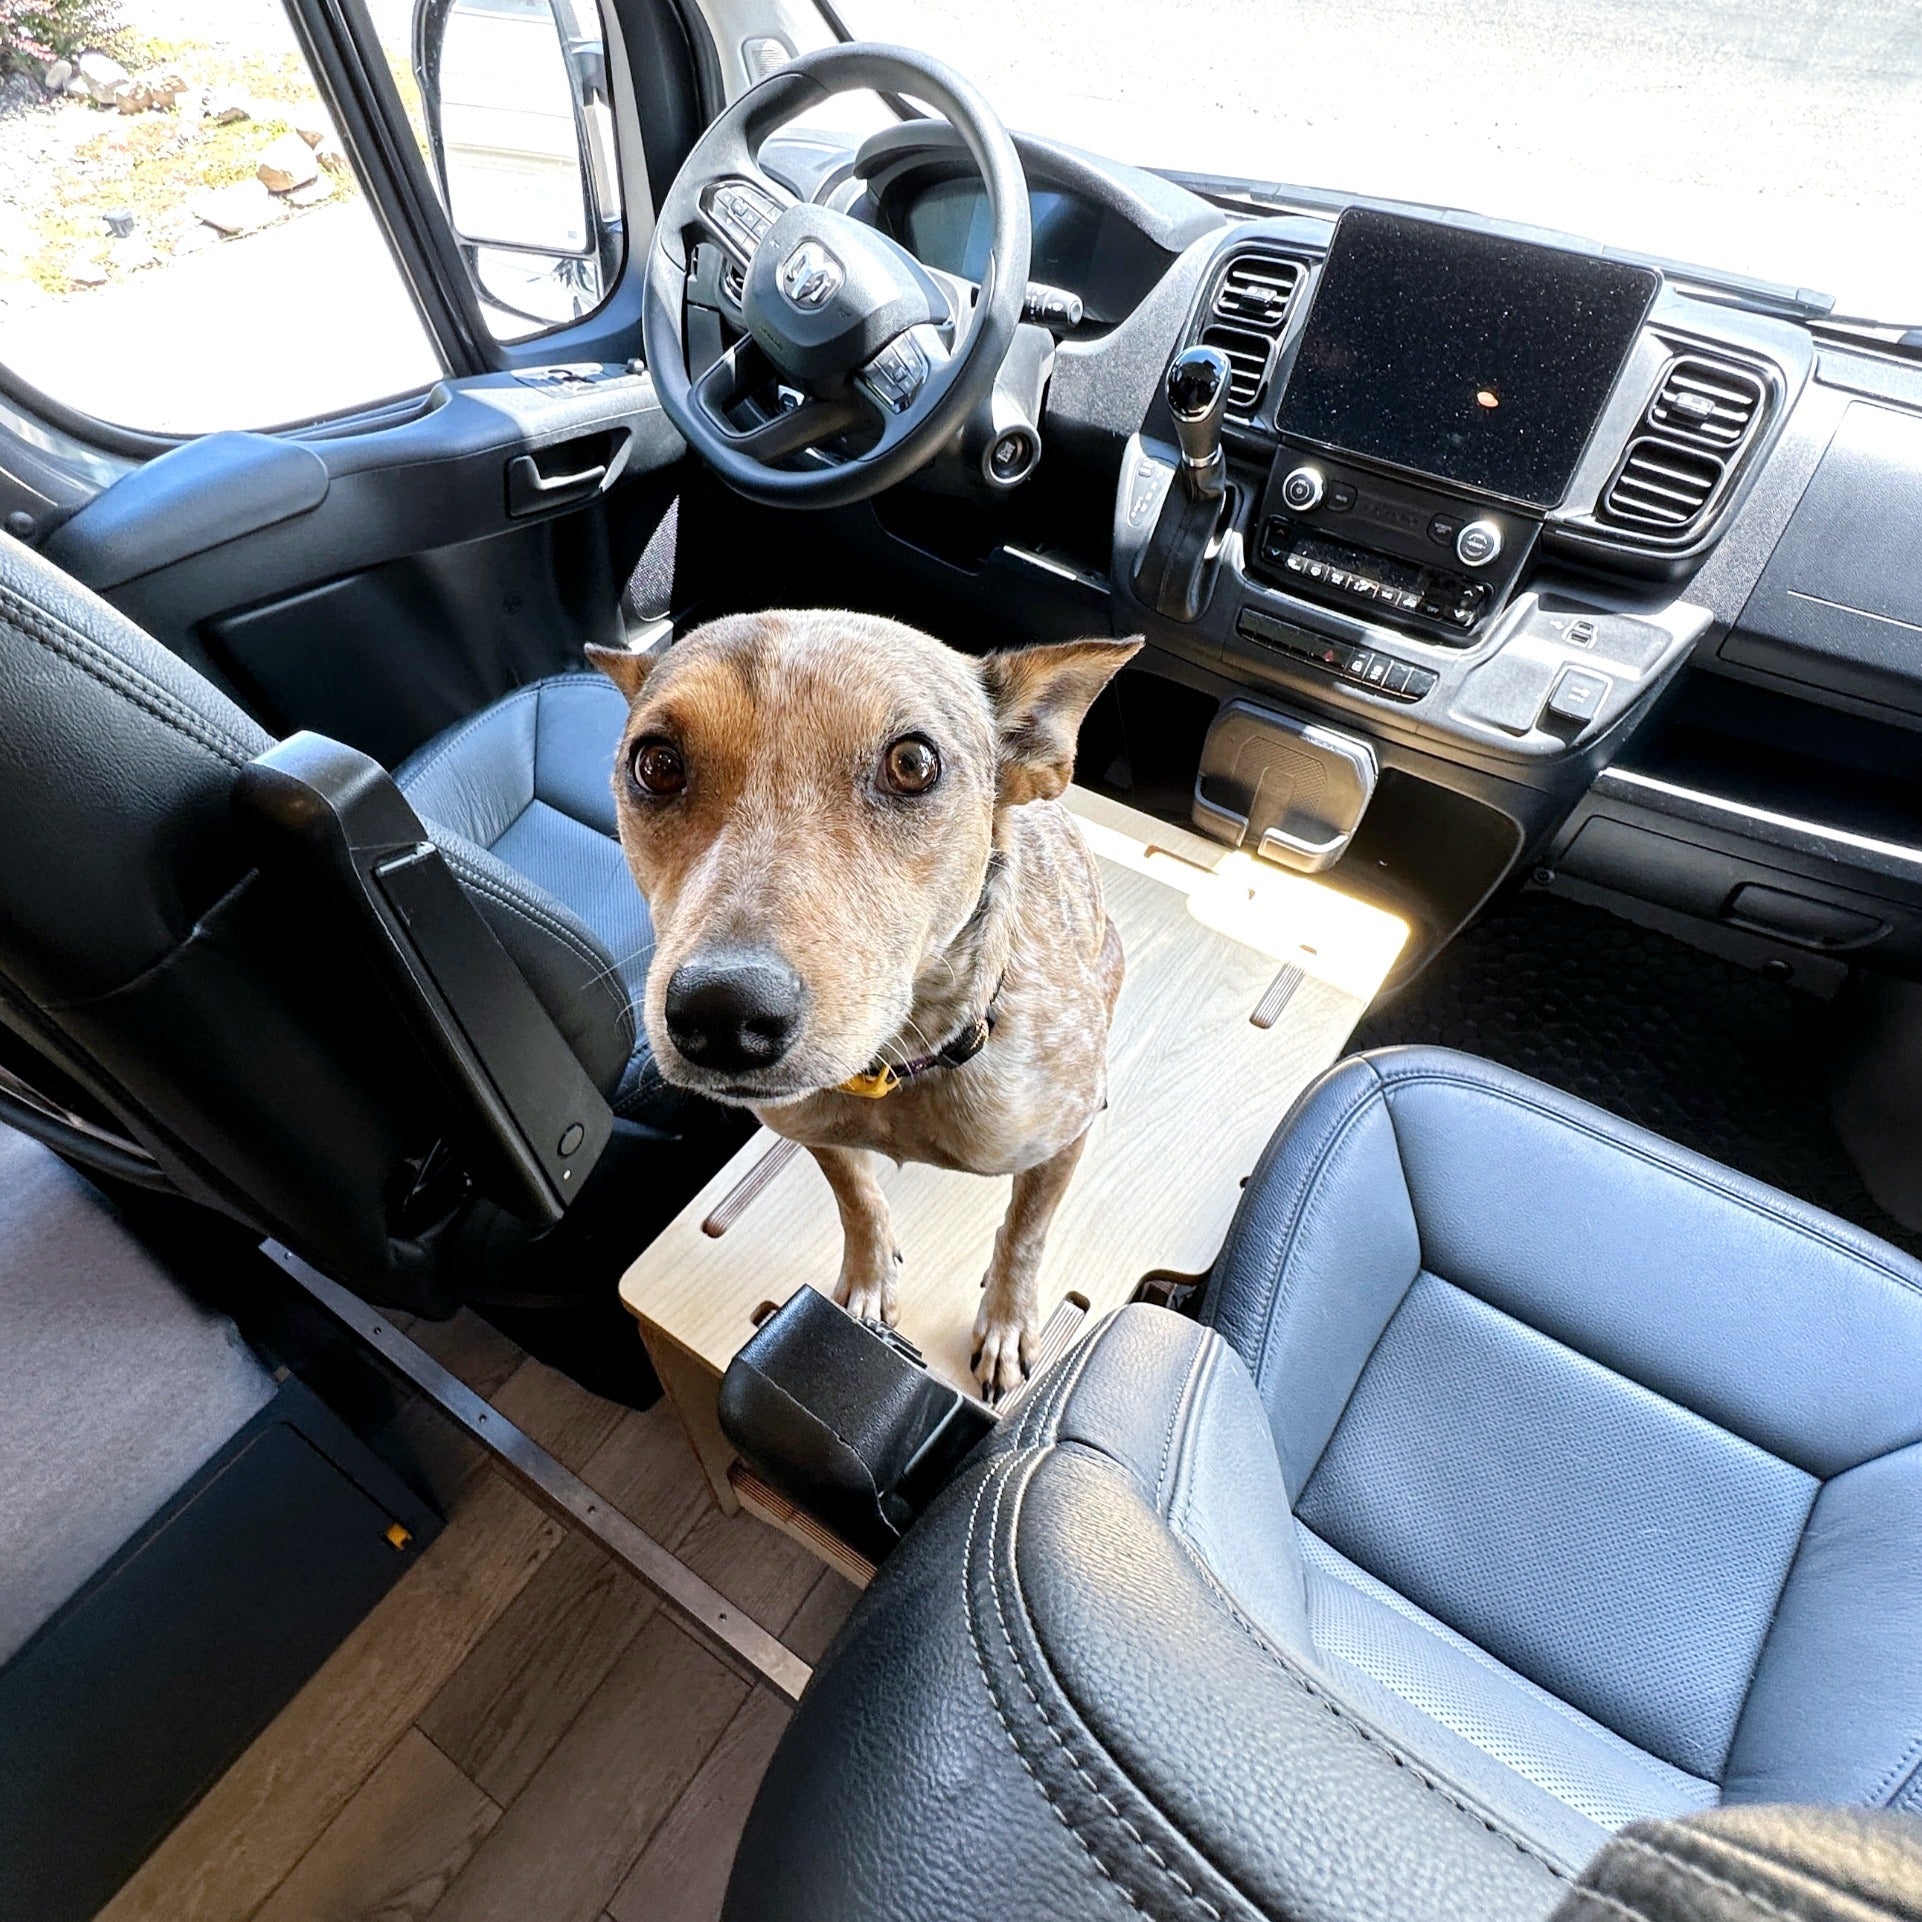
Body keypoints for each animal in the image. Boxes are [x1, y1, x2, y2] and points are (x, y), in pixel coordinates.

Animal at [591, 611, 1130, 1399]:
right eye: (655, 764)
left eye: (913, 763)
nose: (721, 1014)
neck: (899, 1069)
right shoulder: (809, 1127)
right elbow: (856, 1197)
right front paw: (871, 1278)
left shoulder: (1058, 1143)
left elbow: (1024, 1233)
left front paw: (1006, 1322)